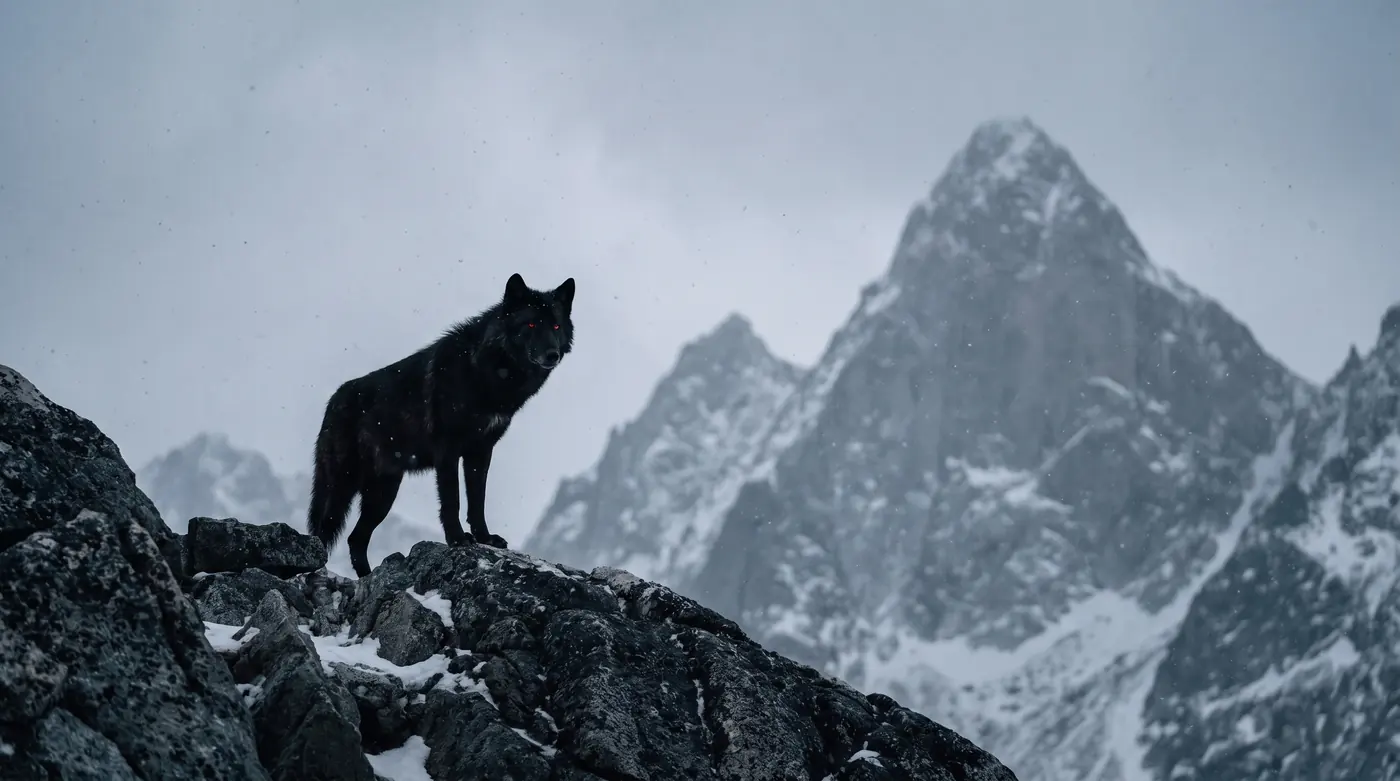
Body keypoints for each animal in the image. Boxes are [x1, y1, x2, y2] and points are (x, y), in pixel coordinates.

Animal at [307, 272, 575, 577]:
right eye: (530, 324)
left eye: (555, 325)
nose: (552, 354)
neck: (486, 371)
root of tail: (333, 400)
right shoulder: (448, 450)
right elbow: (452, 500)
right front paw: (457, 539)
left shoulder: (480, 451)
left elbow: (477, 500)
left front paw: (485, 538)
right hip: (342, 487)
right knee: (322, 532)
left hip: (383, 494)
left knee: (356, 539)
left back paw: (368, 578)